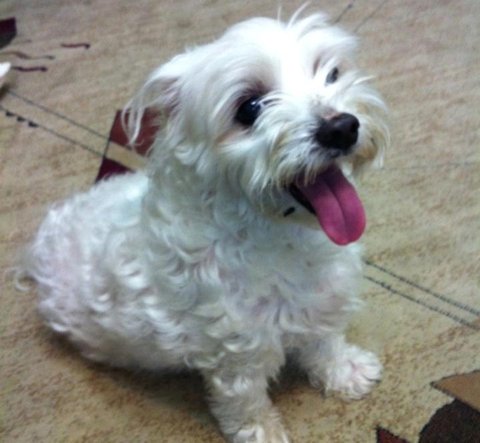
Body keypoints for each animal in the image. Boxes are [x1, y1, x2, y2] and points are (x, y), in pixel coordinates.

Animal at [22, 12, 389, 443]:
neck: (278, 235)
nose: (342, 127)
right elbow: (245, 401)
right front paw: (262, 431)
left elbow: (325, 343)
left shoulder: (321, 301)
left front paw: (346, 371)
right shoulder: (236, 350)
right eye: (249, 108)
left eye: (331, 73)